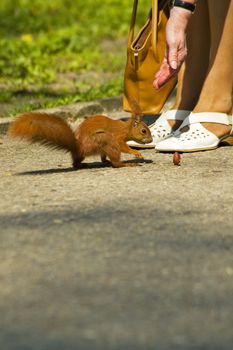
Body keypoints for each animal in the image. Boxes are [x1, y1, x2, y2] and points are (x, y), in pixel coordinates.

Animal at [8, 111, 152, 167]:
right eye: (143, 131)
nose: (150, 140)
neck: (125, 129)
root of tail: (79, 146)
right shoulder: (118, 137)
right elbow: (123, 146)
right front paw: (136, 153)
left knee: (76, 163)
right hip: (104, 139)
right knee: (116, 163)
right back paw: (126, 164)